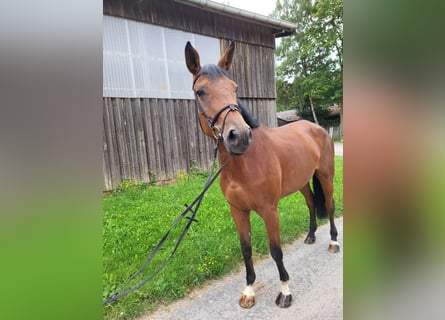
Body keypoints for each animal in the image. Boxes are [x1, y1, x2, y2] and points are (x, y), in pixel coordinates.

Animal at [183, 41, 336, 308]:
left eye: (234, 88)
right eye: (200, 91)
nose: (240, 136)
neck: (244, 164)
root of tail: (318, 128)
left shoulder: (269, 210)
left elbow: (276, 250)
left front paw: (285, 292)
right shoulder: (238, 211)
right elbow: (246, 249)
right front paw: (248, 290)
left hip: (326, 177)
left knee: (330, 204)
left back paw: (334, 243)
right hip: (302, 182)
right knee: (310, 203)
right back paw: (310, 236)